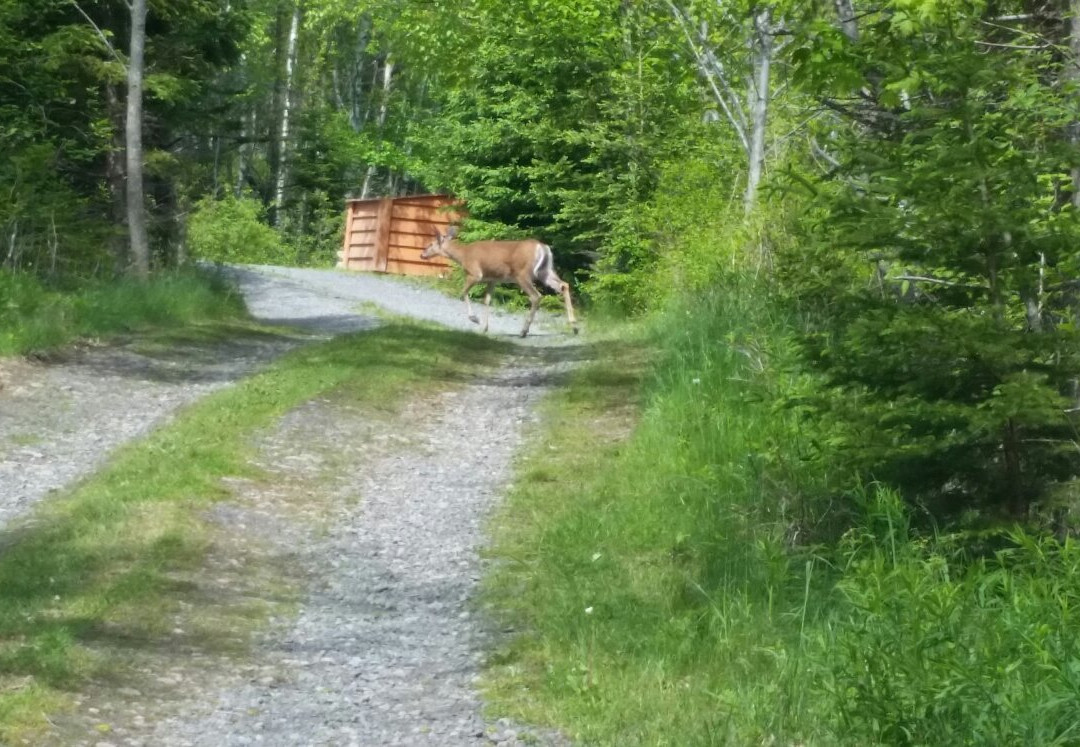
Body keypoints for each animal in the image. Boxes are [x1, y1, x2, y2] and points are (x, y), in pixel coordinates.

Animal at [416, 223, 578, 336]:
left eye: (430, 244)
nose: (422, 255)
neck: (463, 255)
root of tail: (542, 247)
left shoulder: (475, 274)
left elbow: (463, 293)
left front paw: (475, 319)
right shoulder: (492, 279)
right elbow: (487, 300)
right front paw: (484, 328)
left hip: (522, 274)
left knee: (536, 296)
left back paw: (524, 331)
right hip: (545, 271)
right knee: (564, 285)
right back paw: (574, 326)